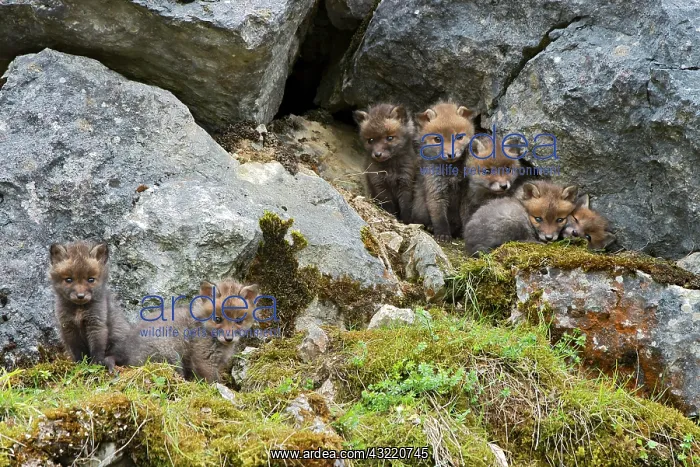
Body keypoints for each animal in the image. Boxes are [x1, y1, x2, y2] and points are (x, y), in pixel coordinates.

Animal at [49, 241, 132, 371]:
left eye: (91, 279)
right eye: (69, 279)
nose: (80, 296)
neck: (79, 311)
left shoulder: (96, 324)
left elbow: (97, 348)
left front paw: (96, 364)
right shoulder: (69, 327)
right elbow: (78, 351)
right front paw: (79, 365)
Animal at [412, 101, 476, 241]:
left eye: (459, 137)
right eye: (437, 139)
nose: (451, 154)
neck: (451, 174)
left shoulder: (466, 192)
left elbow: (467, 216)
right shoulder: (436, 190)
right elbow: (439, 217)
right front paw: (443, 234)